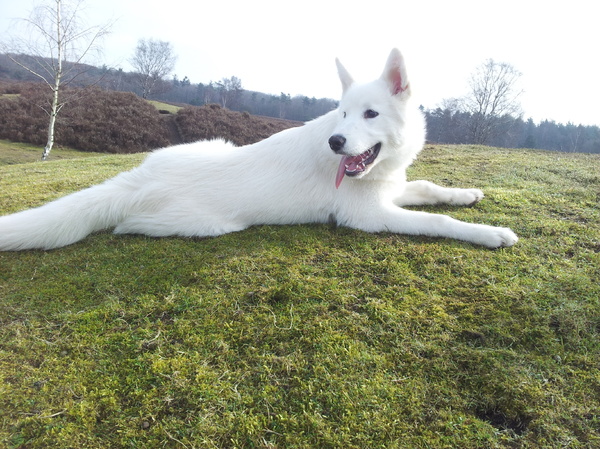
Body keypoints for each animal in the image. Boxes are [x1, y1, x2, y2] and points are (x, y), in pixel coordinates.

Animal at [0, 51, 516, 252]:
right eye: (342, 114)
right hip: (205, 223)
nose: (335, 142)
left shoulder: (389, 189)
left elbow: (429, 188)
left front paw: (467, 194)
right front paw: (490, 233)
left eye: (369, 114)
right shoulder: (368, 215)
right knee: (131, 225)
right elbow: (437, 221)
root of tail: (139, 180)